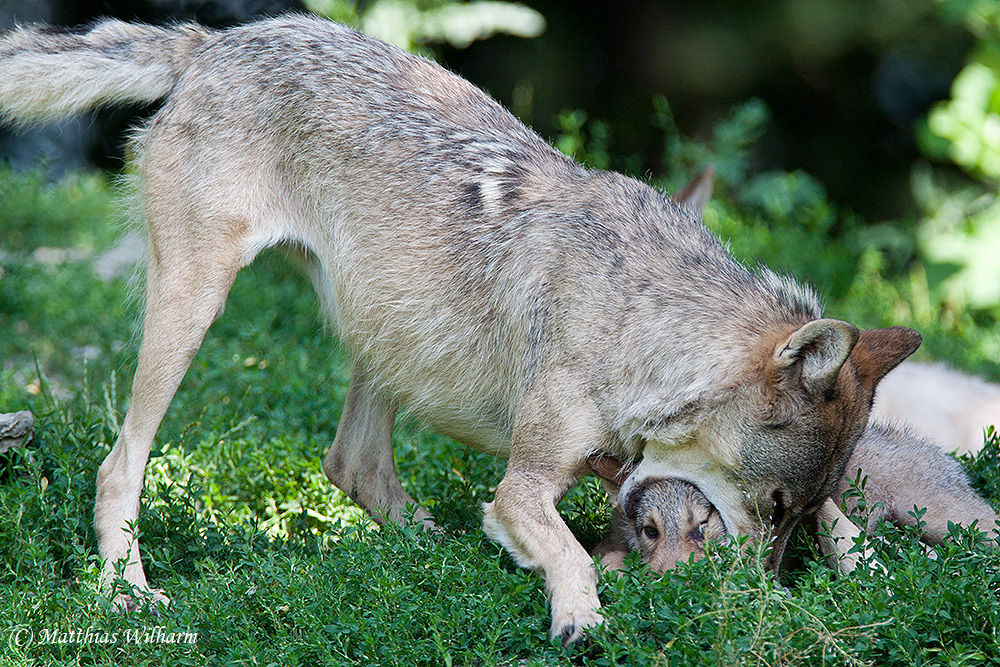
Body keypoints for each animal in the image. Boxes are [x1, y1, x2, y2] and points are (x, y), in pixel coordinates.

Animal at [0, 14, 920, 640]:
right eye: (770, 505)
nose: (761, 596)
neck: (638, 322)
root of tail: (216, 40)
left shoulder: (608, 466)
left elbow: (847, 519)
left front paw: (878, 569)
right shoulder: (525, 483)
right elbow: (570, 550)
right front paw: (583, 618)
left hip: (388, 330)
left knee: (353, 464)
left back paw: (435, 553)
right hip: (195, 311)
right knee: (122, 461)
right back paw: (126, 587)